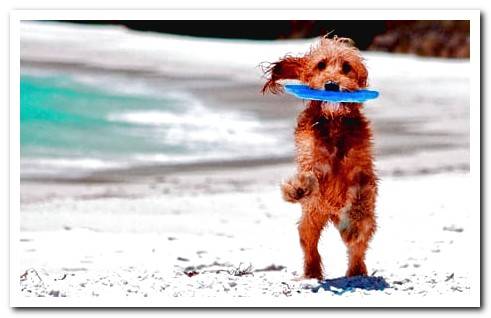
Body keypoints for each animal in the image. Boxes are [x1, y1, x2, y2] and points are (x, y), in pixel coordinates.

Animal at [264, 35, 378, 278]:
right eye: (321, 65)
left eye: (346, 67)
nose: (332, 85)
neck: (334, 123)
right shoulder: (312, 159)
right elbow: (309, 176)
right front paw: (297, 188)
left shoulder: (363, 173)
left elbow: (360, 200)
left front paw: (353, 226)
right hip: (311, 218)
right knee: (309, 244)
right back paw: (312, 271)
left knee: (358, 246)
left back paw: (356, 269)